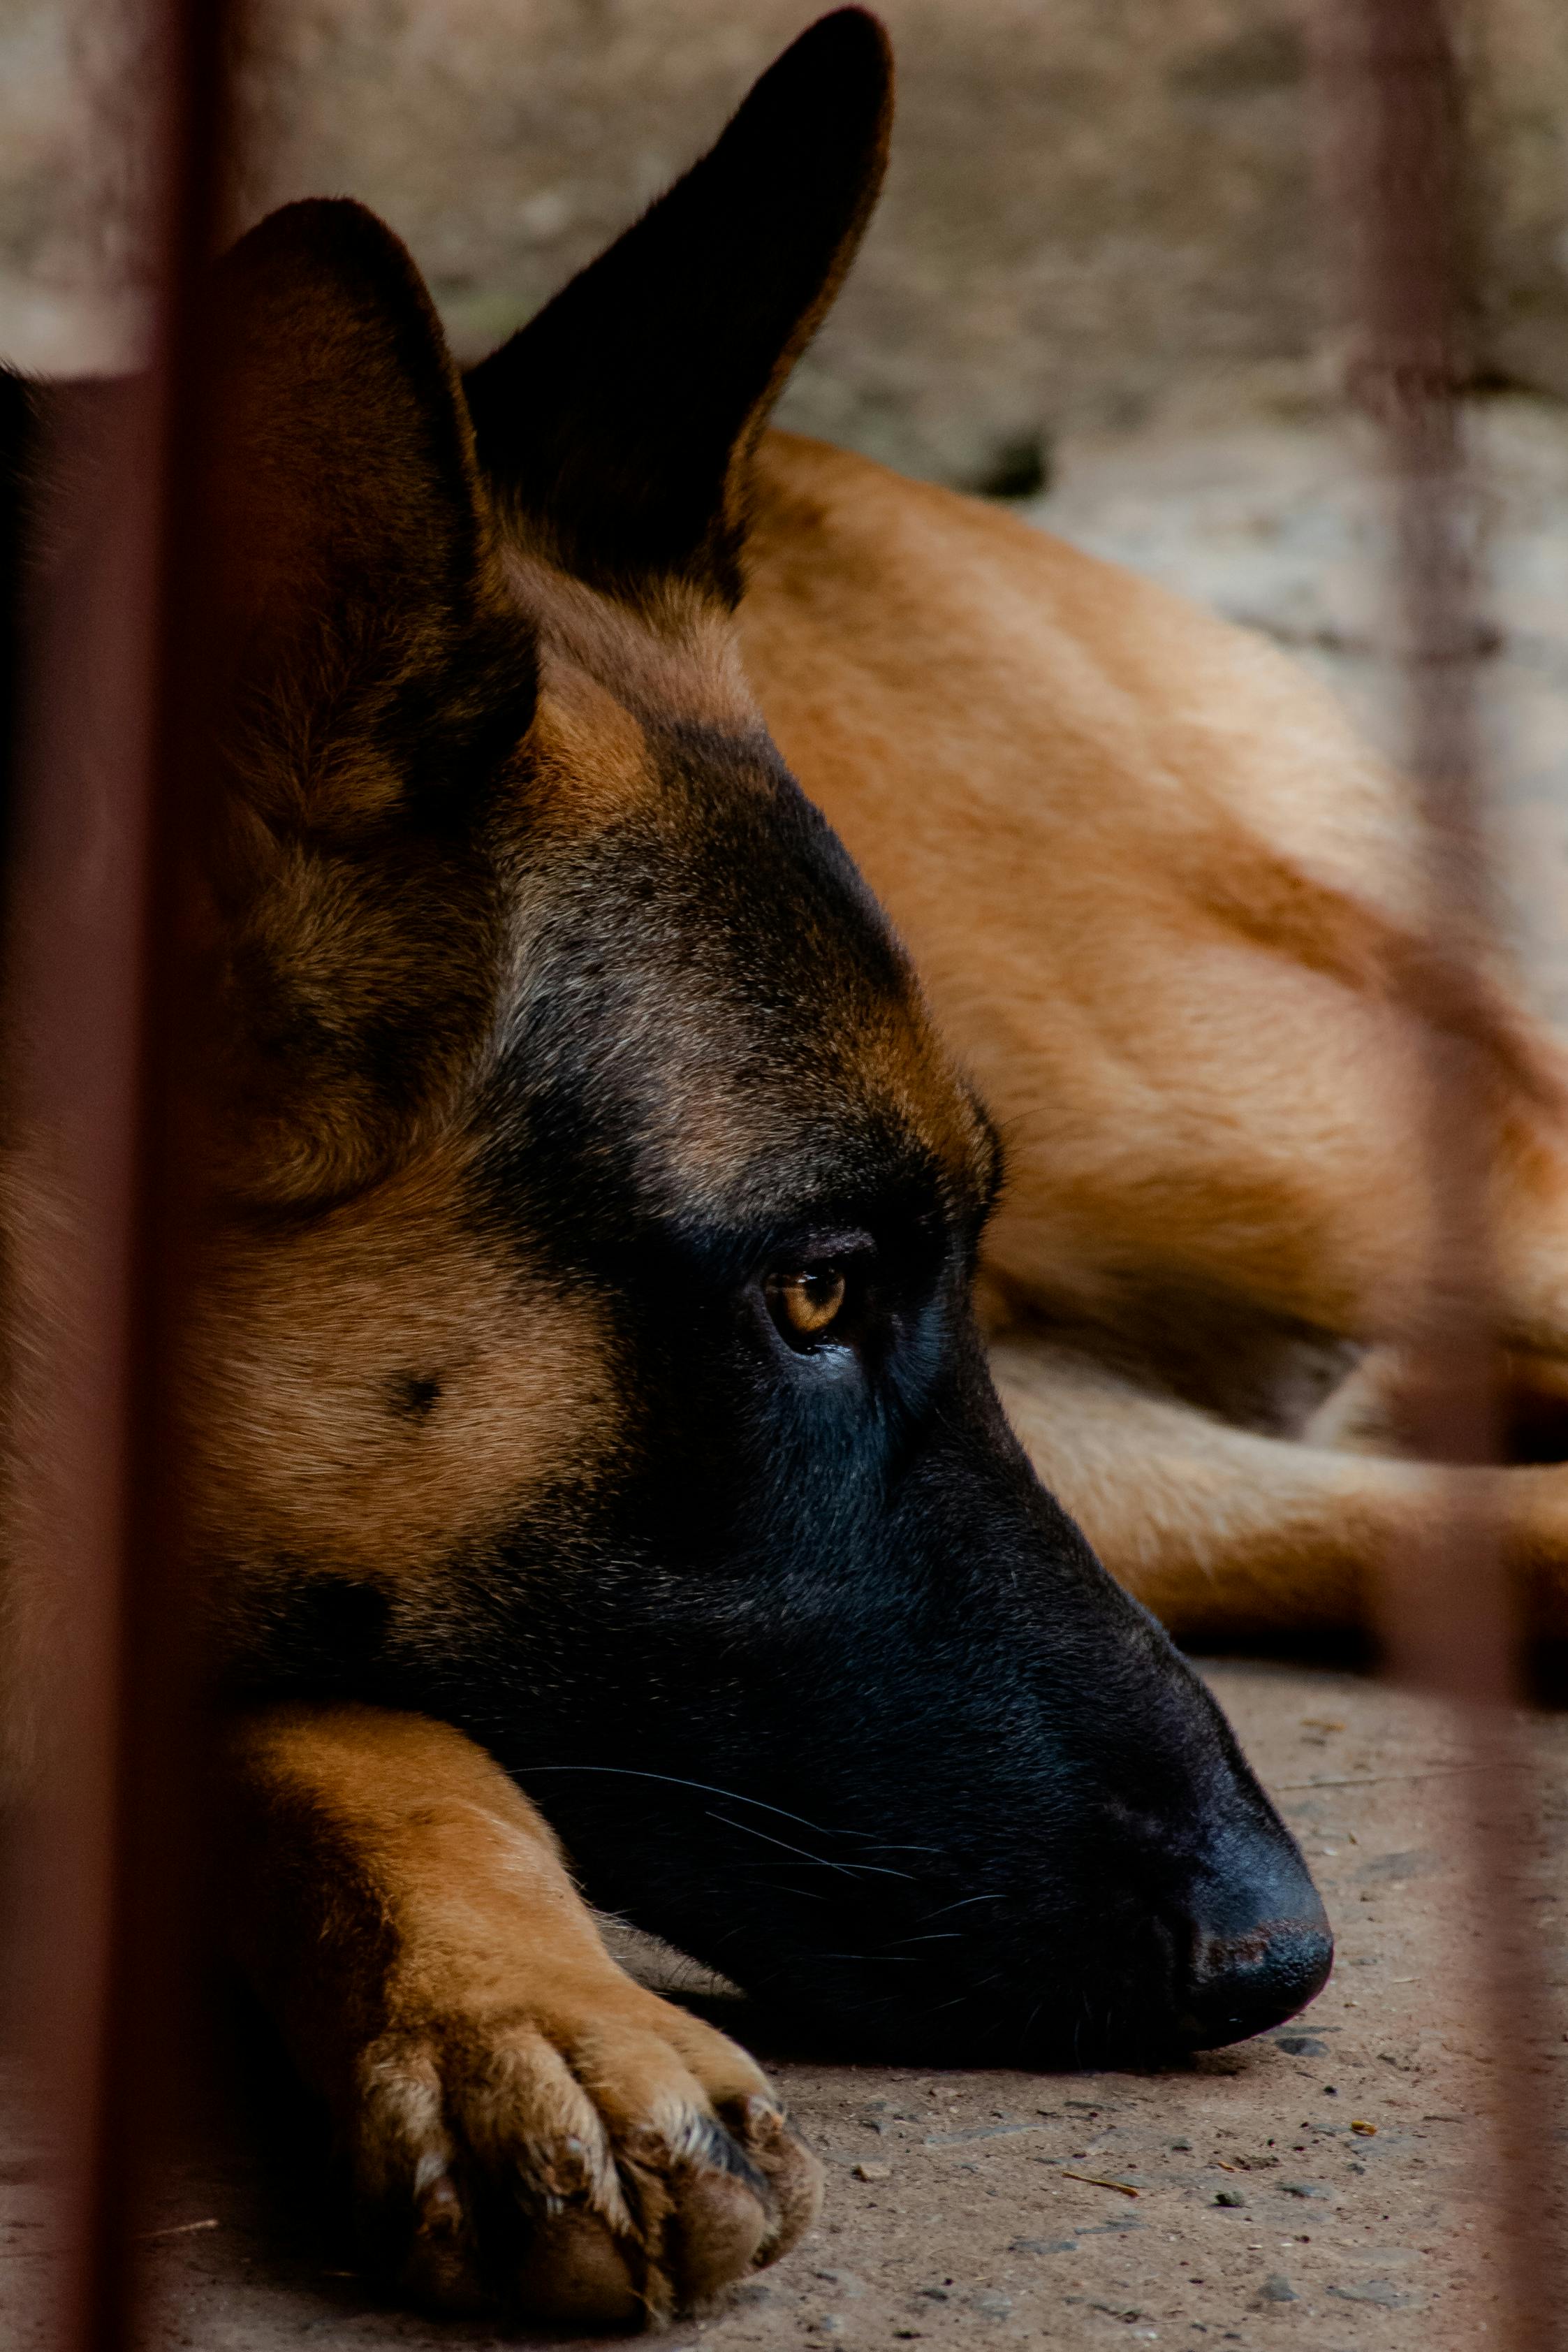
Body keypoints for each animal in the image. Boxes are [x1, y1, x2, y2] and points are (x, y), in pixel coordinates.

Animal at [18, 9, 1568, 2333]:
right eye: (810, 1292)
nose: (1279, 1955)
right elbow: (358, 1724)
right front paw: (517, 2010)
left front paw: (526, 2014)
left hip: (1282, 1140)